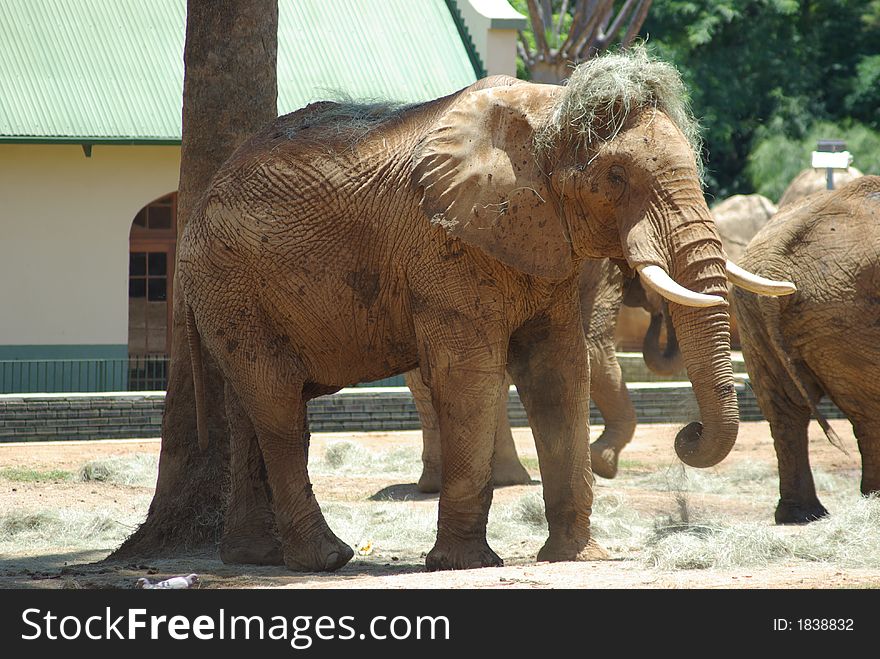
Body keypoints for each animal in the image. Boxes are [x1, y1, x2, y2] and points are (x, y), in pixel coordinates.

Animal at [728, 177, 880, 524]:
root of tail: (775, 261)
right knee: (869, 411)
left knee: (784, 409)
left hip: (752, 310)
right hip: (845, 309)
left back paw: (800, 516)